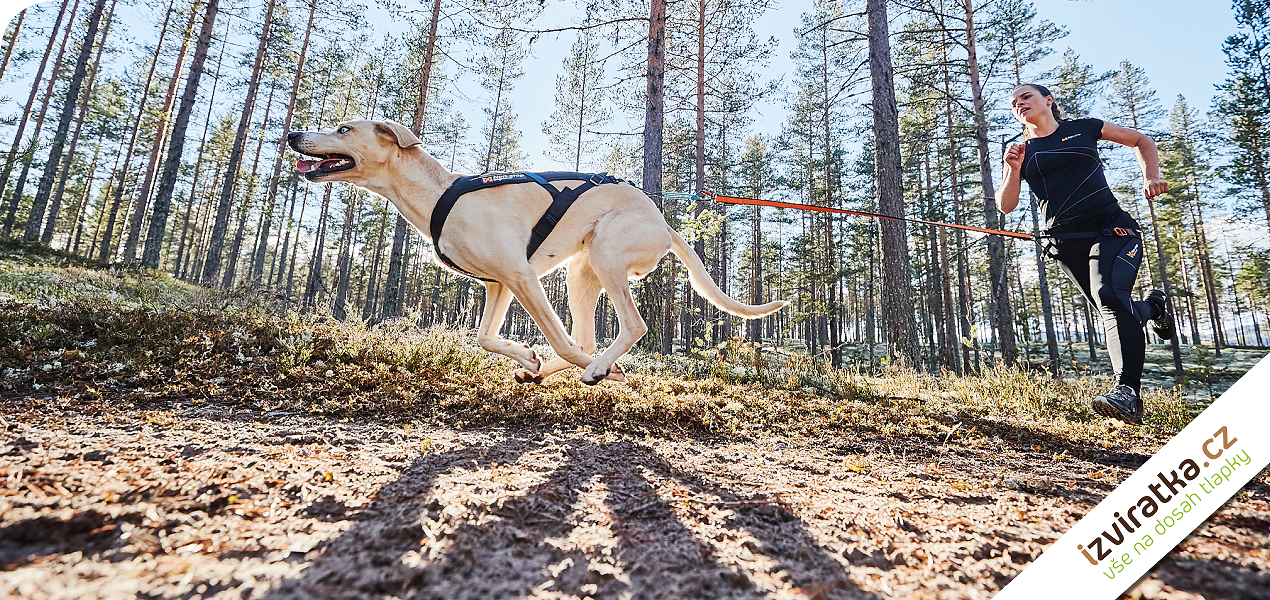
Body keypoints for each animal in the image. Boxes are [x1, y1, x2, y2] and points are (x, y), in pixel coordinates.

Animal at [287, 120, 782, 386]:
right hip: (581, 273)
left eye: (343, 129)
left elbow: (558, 339)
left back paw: (598, 368)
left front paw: (605, 373)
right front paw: (527, 358)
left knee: (627, 328)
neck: (440, 195)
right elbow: (486, 338)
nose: (292, 133)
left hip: (605, 256)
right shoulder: (500, 285)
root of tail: (664, 223)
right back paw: (554, 370)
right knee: (587, 338)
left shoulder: (522, 278)